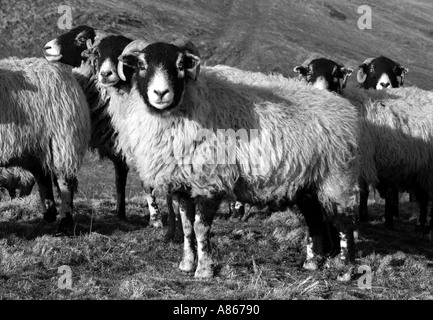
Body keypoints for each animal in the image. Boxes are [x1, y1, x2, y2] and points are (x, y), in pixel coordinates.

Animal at [0, 57, 89, 232]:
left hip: (63, 141)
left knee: (65, 183)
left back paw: (65, 225)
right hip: (36, 150)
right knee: (43, 178)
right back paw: (48, 216)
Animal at [43, 26, 164, 228]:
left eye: (80, 38)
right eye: (97, 53)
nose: (47, 47)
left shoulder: (128, 141)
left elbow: (131, 181)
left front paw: (152, 219)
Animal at [105, 39, 362, 278]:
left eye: (179, 65)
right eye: (141, 65)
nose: (160, 94)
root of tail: (344, 108)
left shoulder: (209, 181)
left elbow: (200, 228)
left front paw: (204, 270)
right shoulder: (182, 185)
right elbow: (186, 227)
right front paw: (186, 264)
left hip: (336, 177)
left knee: (344, 222)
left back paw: (346, 271)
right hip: (307, 183)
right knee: (314, 218)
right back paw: (311, 263)